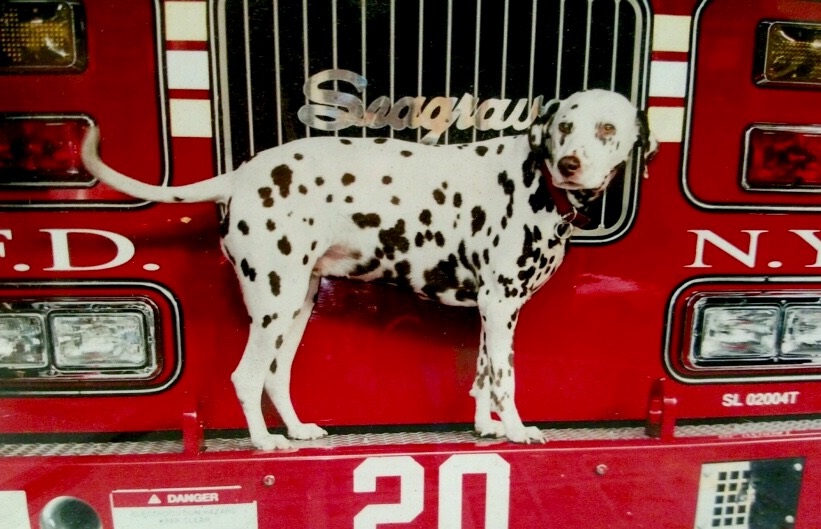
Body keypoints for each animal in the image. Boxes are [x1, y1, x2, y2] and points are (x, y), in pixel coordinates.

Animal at [78, 87, 652, 450]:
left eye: (606, 127)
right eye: (564, 126)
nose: (571, 164)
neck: (539, 180)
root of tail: (241, 175)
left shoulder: (492, 313)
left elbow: (484, 373)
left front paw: (486, 426)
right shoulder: (500, 304)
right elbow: (505, 377)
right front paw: (515, 429)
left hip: (296, 306)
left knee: (275, 376)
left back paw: (296, 430)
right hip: (274, 304)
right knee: (246, 376)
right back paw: (264, 441)